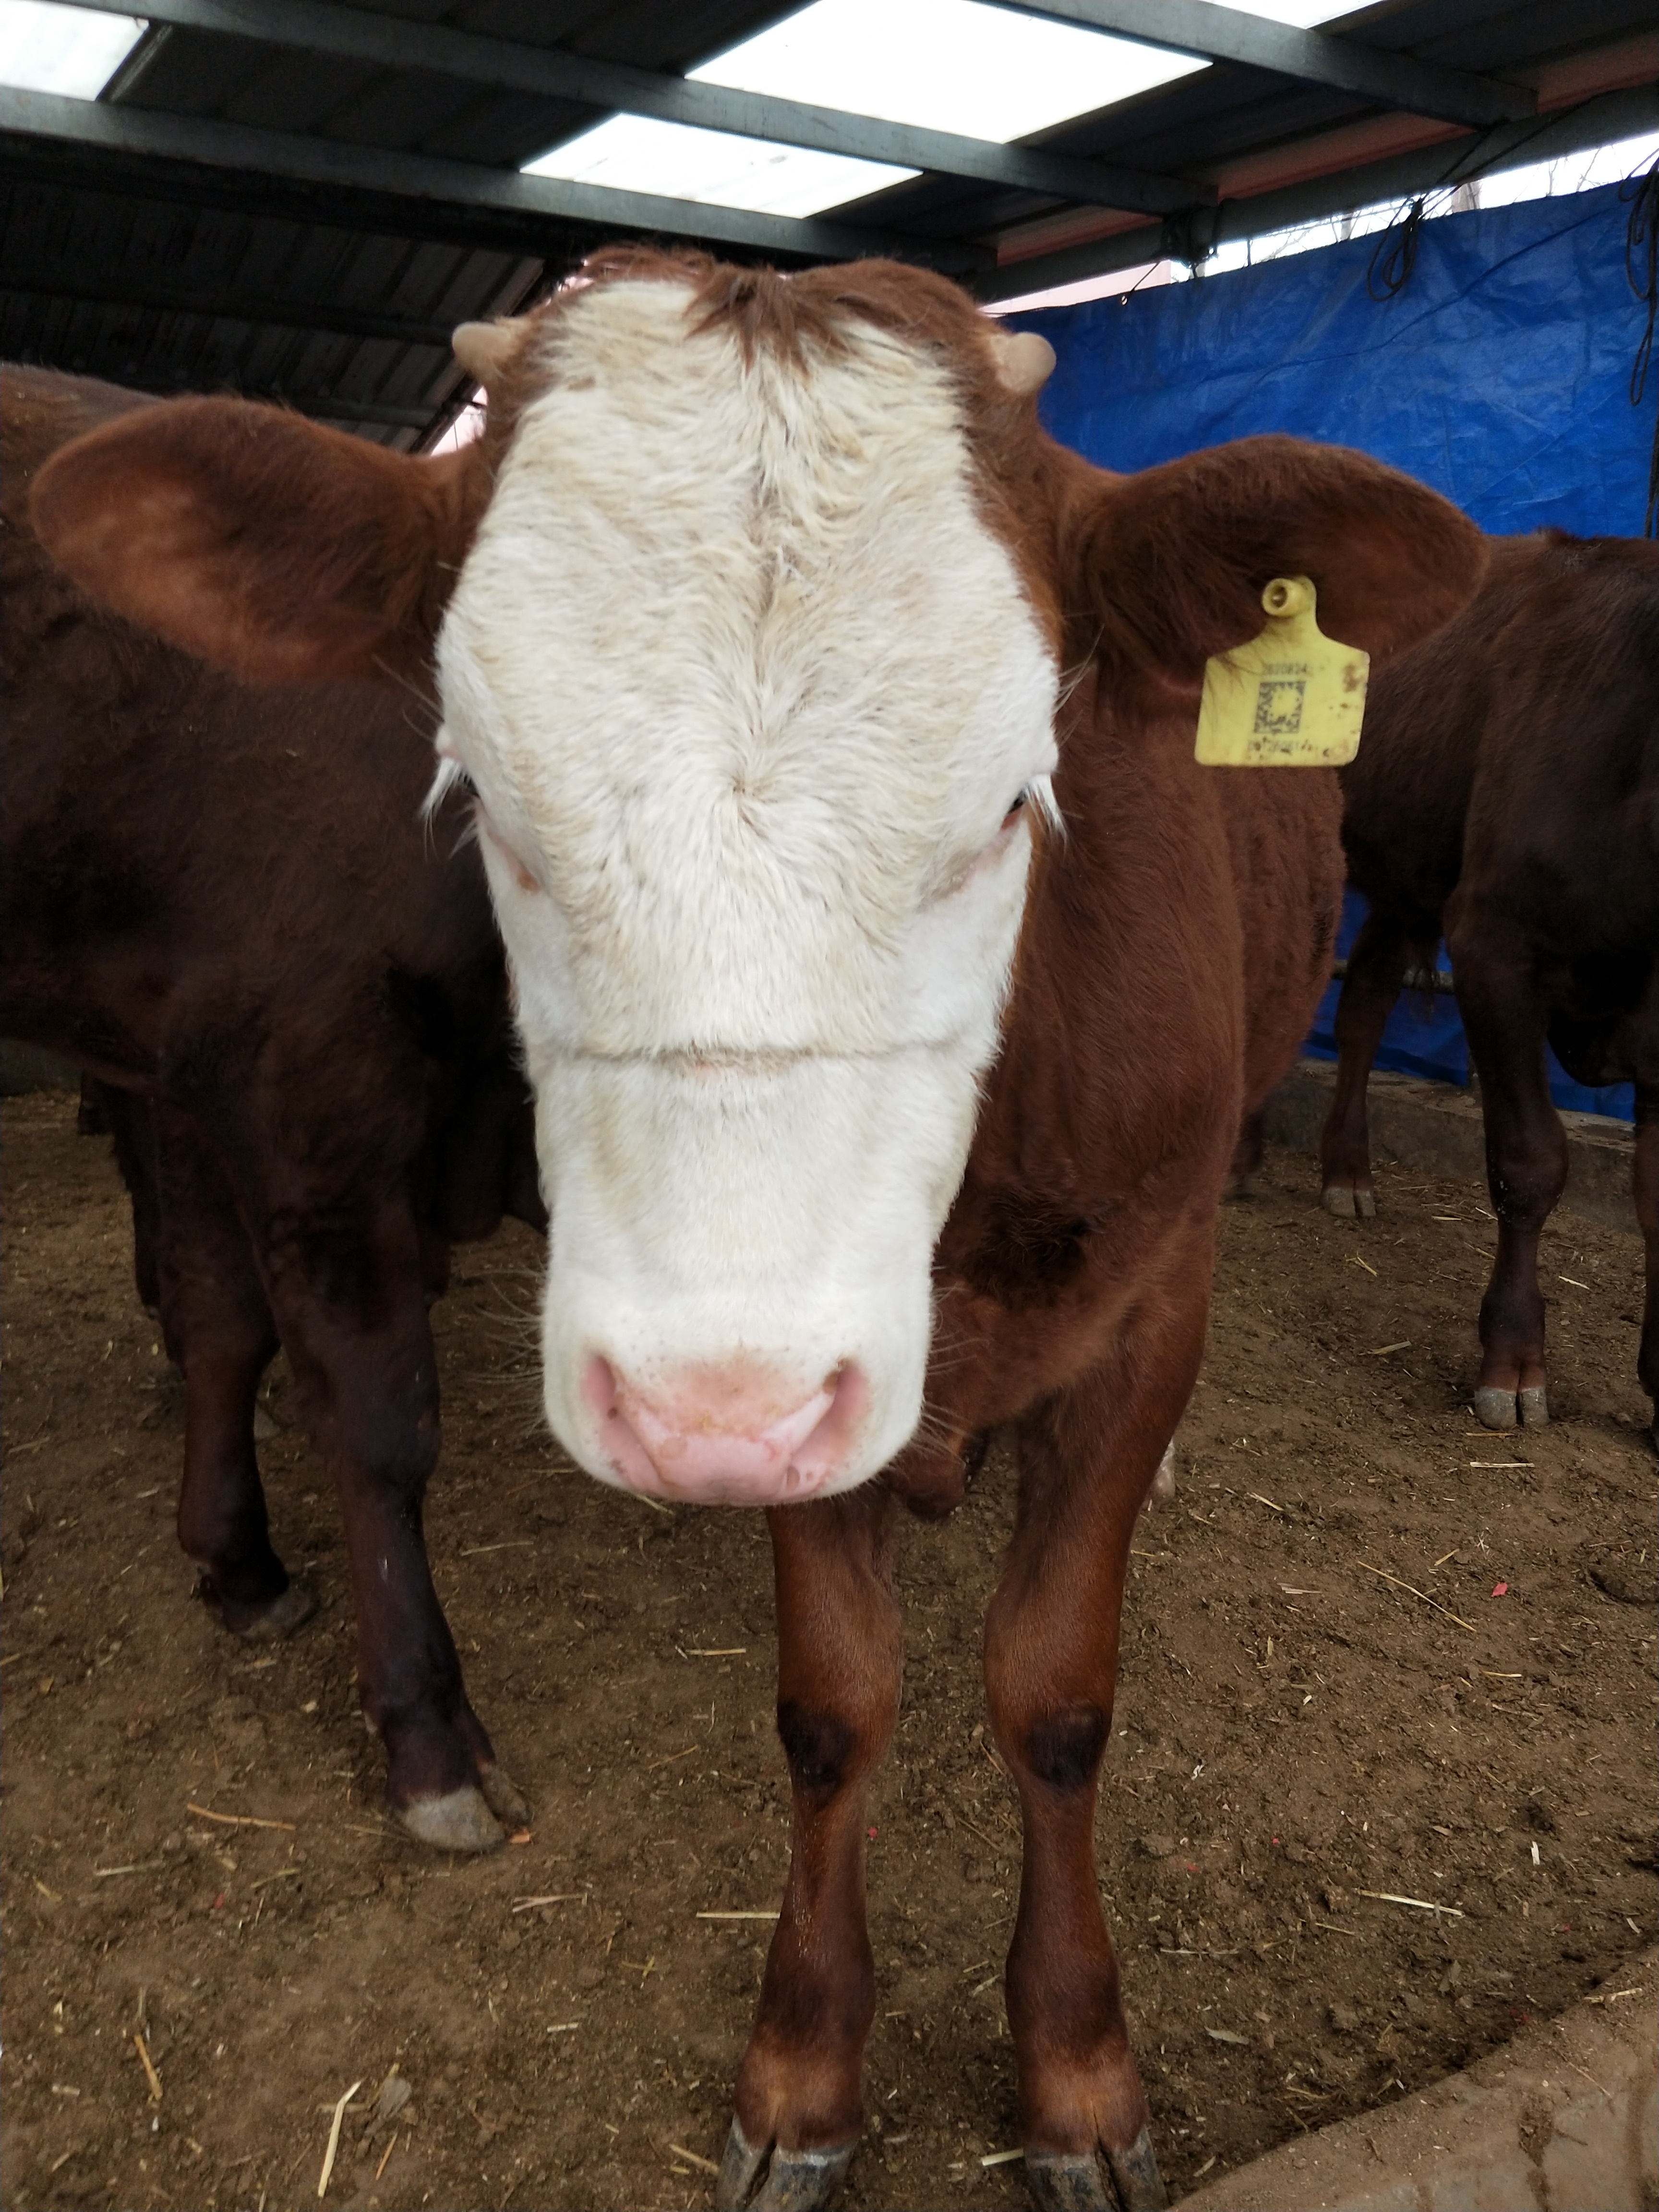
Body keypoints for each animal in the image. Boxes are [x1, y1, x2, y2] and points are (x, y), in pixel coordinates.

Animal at [1, 372, 546, 1858]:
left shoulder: (183, 1075)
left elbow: (218, 1322)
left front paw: (235, 1557)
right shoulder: (310, 1093)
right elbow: (376, 1416)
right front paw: (426, 1728)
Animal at [1327, 529, 1659, 1442]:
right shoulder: (1492, 947)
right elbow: (1529, 1159)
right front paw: (1512, 1362)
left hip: (1406, 864)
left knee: (1364, 995)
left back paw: (1348, 1172)